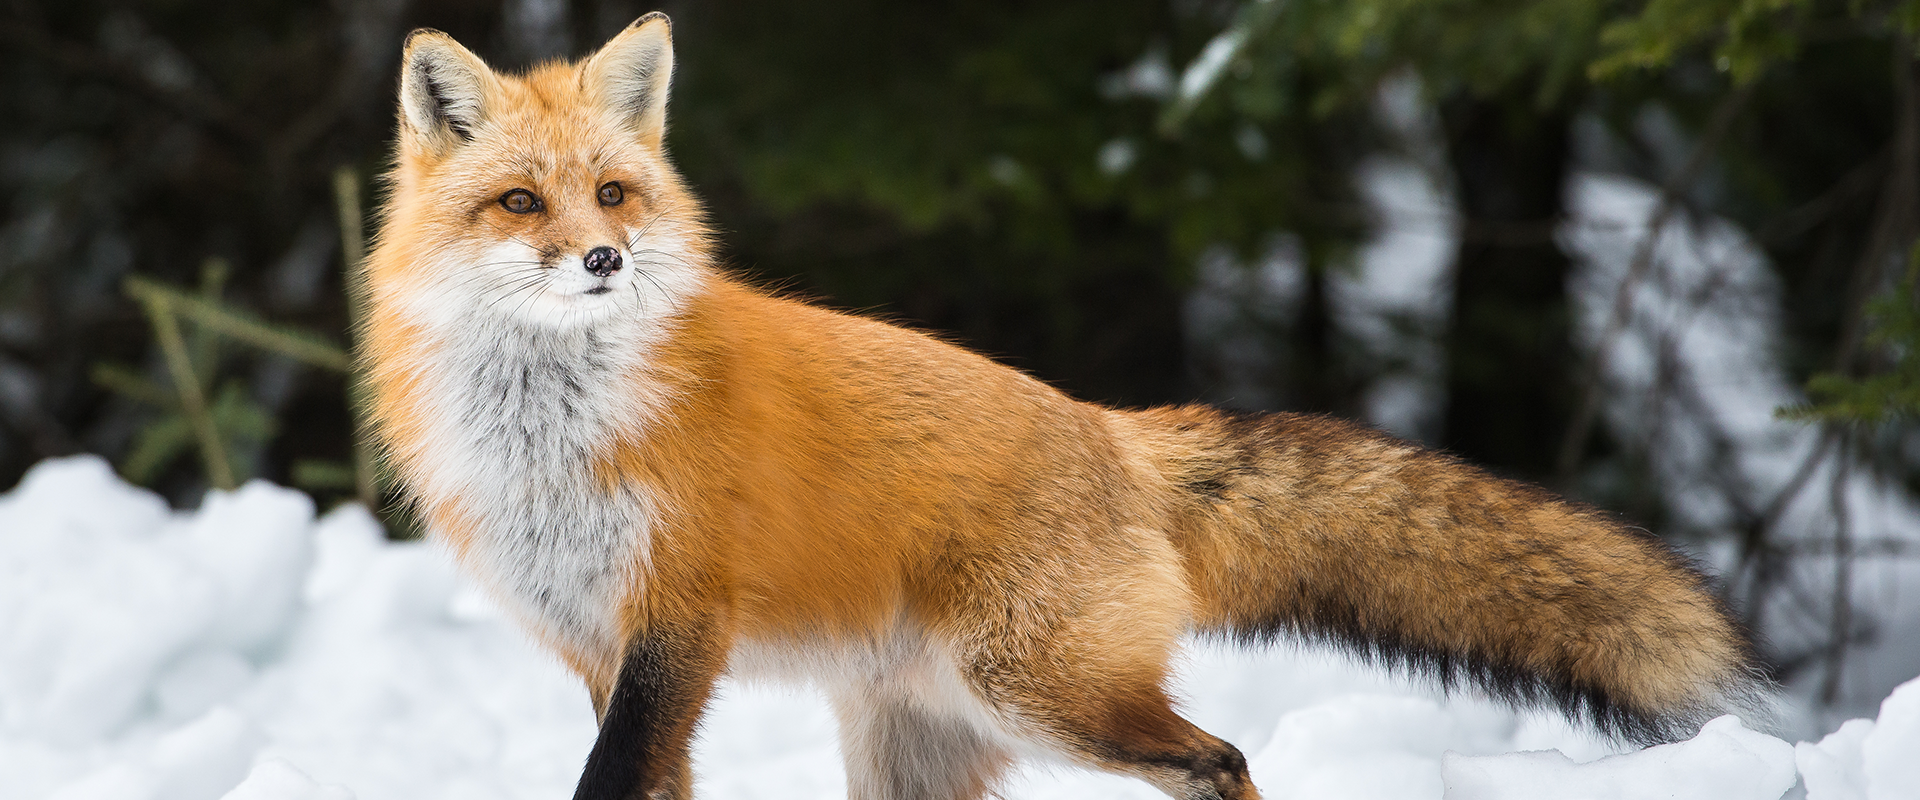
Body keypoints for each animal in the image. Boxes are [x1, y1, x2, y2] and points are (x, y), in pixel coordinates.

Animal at [361, 14, 1774, 800]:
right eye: (520, 203)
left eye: (612, 193)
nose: (604, 258)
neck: (554, 435)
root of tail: (1113, 429)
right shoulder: (603, 647)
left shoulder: (677, 624)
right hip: (926, 746)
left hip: (1043, 690)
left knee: (1222, 760)